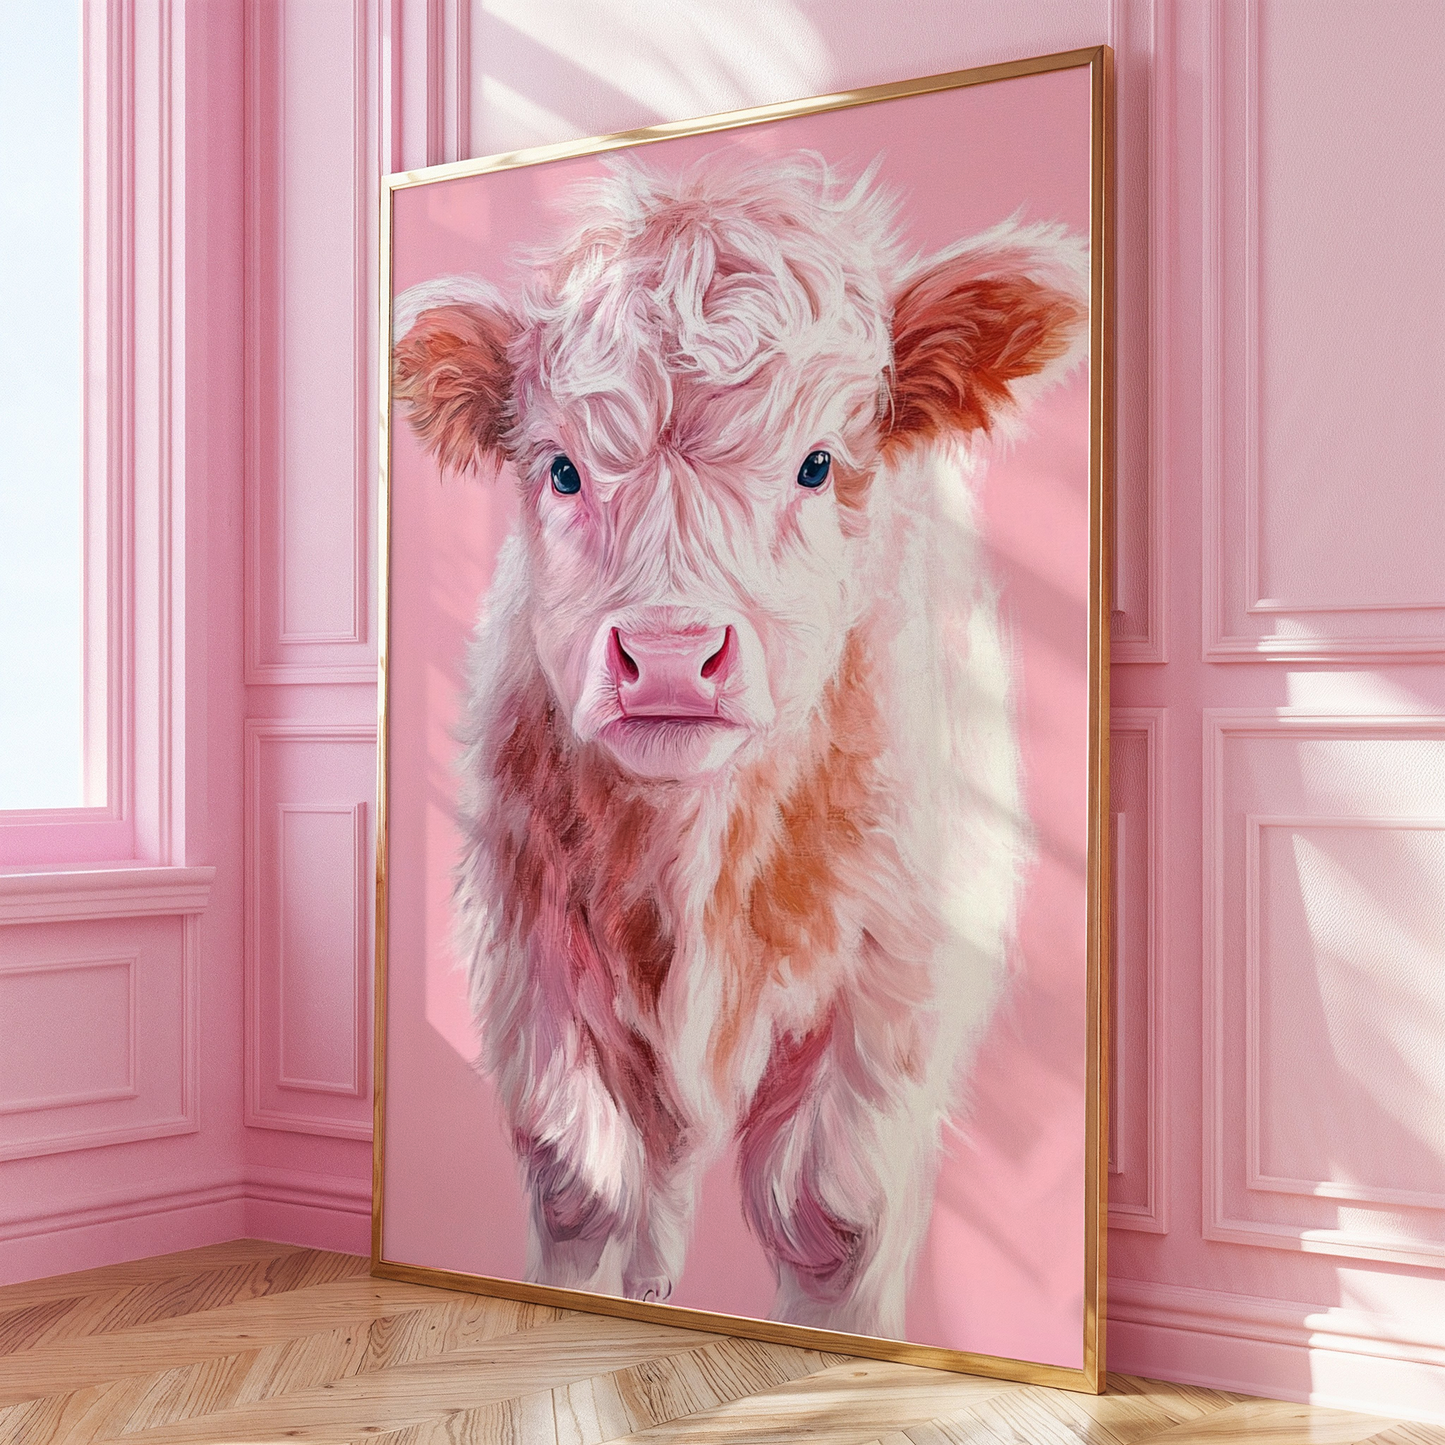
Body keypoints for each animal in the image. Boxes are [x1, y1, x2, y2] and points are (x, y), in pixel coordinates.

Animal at [392, 150, 1087, 1340]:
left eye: (816, 463)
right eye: (561, 469)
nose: (670, 656)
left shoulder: (894, 978)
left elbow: (829, 1213)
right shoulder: (527, 950)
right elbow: (584, 1183)